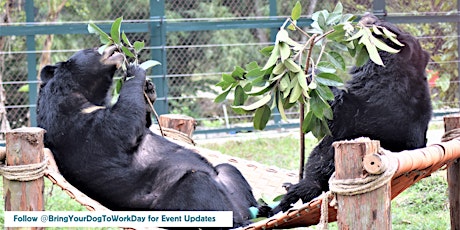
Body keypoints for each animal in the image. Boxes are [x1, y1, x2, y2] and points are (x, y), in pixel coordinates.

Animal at [35, 45, 258, 227]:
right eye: (93, 50)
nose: (116, 47)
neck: (83, 94)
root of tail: (240, 212)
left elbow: (141, 122)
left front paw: (149, 90)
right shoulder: (75, 127)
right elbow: (120, 127)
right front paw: (135, 71)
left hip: (230, 184)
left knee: (229, 170)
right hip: (177, 200)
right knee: (199, 186)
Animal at [264, 14, 434, 216]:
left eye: (379, 26)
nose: (367, 16)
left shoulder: (373, 100)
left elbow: (334, 112)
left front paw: (304, 70)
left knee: (311, 178)